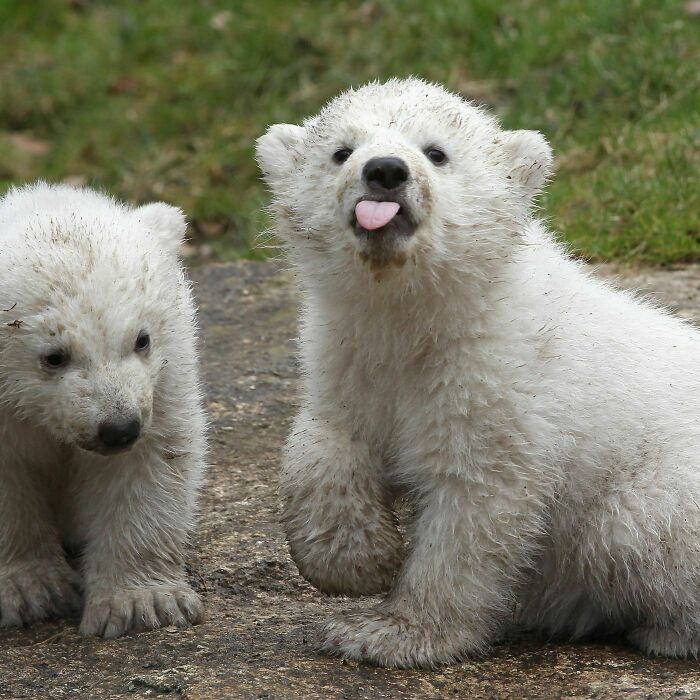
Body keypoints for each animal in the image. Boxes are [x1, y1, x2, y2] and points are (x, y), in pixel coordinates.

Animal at [0, 182, 206, 638]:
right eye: (54, 356)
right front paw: (30, 590)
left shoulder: (163, 383)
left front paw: (142, 603)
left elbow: (148, 466)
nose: (119, 428)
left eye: (142, 339)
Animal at [256, 78, 700, 668]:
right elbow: (328, 435)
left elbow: (475, 505)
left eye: (436, 152)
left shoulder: (500, 383)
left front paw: (390, 633)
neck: (425, 314)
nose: (386, 171)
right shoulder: (346, 351)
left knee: (629, 529)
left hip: (662, 489)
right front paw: (356, 563)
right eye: (341, 151)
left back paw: (667, 630)